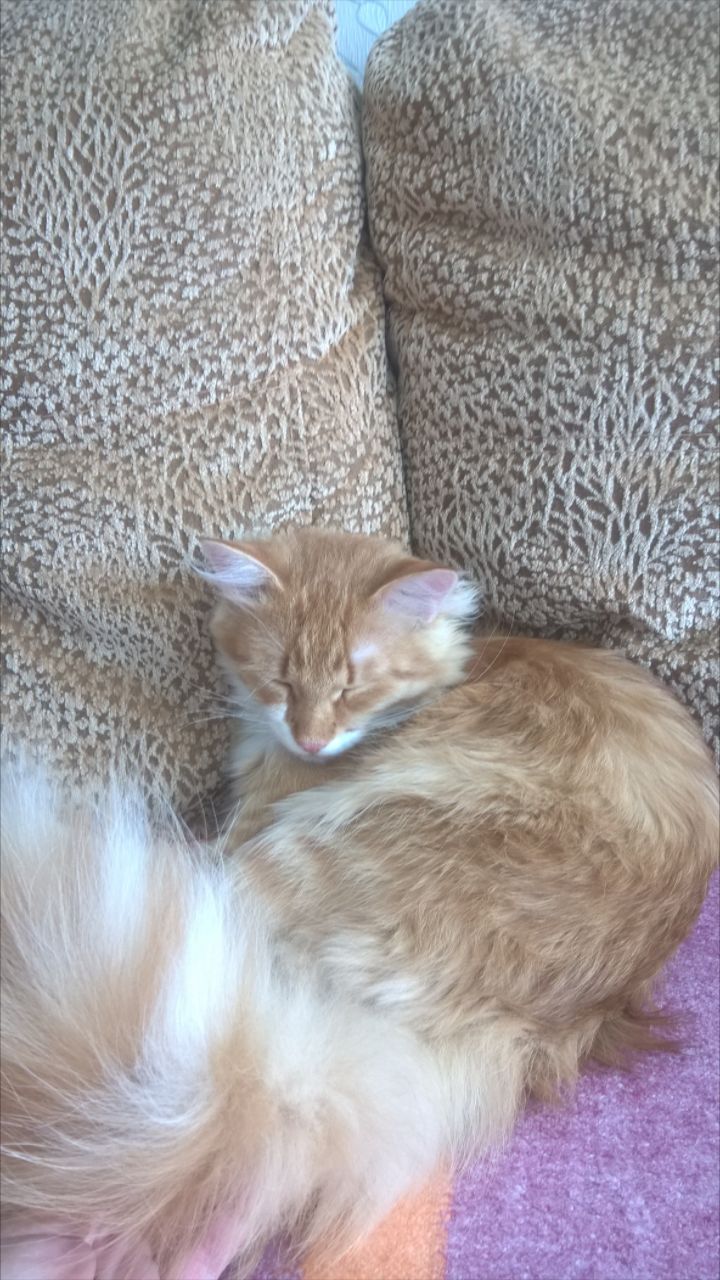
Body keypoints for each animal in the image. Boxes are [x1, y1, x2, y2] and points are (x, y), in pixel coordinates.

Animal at [1, 527, 717, 1280]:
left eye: (353, 687)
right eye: (282, 679)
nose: (311, 739)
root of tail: (533, 1023)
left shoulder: (247, 829)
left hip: (292, 857)